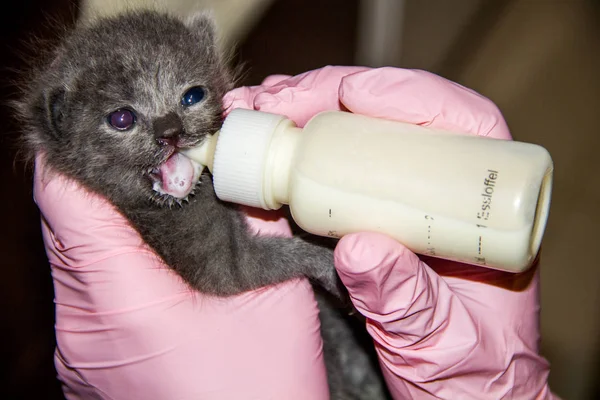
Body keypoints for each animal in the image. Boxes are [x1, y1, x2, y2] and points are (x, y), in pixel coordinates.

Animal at [15, 10, 390, 398]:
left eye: (192, 96)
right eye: (121, 119)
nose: (171, 131)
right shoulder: (210, 259)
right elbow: (245, 268)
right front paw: (327, 264)